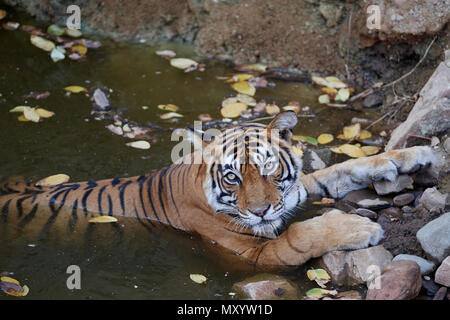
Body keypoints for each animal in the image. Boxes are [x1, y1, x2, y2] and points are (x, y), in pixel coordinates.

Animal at [0, 112, 436, 270]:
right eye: (232, 178)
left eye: (268, 168)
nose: (260, 212)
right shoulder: (253, 252)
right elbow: (300, 233)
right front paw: (359, 229)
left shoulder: (292, 192)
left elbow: (339, 170)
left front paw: (411, 155)